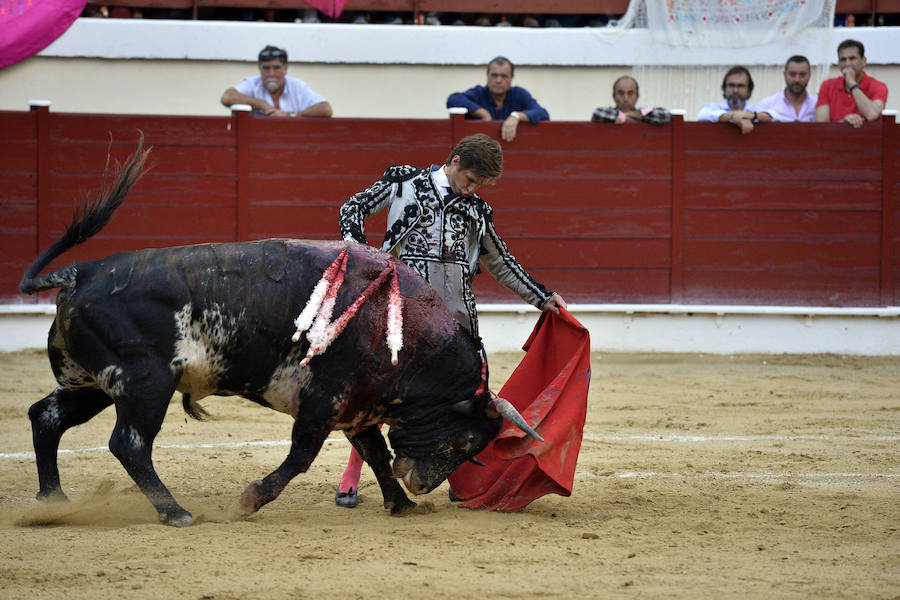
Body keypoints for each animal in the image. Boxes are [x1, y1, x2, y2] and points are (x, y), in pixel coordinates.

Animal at [19, 138, 540, 528]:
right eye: (470, 440)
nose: (422, 482)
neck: (404, 336)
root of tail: (81, 273)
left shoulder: (357, 407)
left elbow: (373, 452)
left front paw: (403, 504)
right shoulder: (323, 399)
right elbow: (302, 456)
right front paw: (250, 499)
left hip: (92, 382)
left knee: (46, 417)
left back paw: (53, 503)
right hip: (144, 381)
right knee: (128, 443)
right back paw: (175, 512)